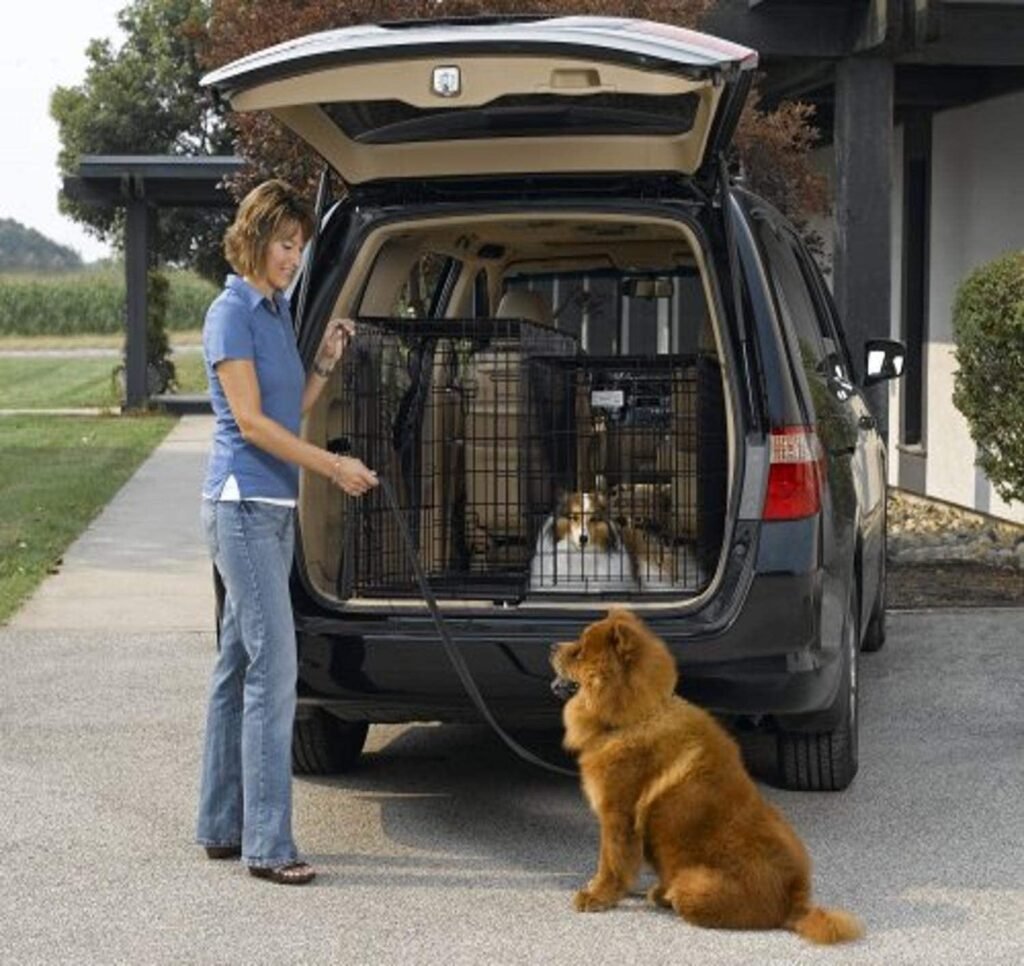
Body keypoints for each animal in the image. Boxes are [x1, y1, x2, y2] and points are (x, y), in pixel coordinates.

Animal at [552, 610, 864, 942]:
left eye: (579, 651)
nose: (552, 646)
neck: (637, 716)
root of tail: (795, 900)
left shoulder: (617, 814)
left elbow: (610, 862)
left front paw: (595, 896)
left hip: (694, 883)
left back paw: (666, 896)